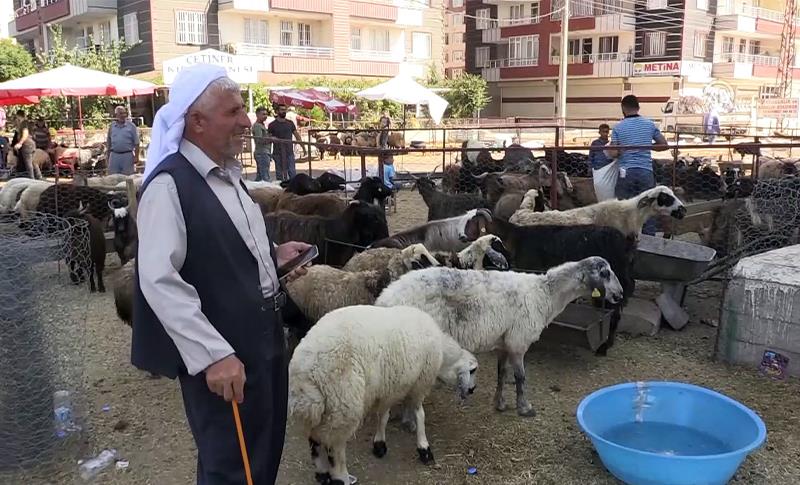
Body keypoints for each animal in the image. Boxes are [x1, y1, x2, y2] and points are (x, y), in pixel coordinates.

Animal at [288, 304, 476, 484]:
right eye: (473, 370)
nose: (472, 390)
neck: (442, 352)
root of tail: (304, 369)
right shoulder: (419, 381)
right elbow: (419, 414)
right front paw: (424, 448)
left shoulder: (390, 386)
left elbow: (383, 415)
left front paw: (379, 444)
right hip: (343, 404)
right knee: (335, 448)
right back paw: (342, 478)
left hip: (324, 409)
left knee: (315, 438)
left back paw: (322, 474)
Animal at [376, 258, 624, 416]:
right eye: (605, 273)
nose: (620, 294)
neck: (546, 294)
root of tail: (385, 298)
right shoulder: (518, 341)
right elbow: (521, 377)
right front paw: (525, 408)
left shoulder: (504, 343)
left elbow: (501, 374)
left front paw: (500, 403)